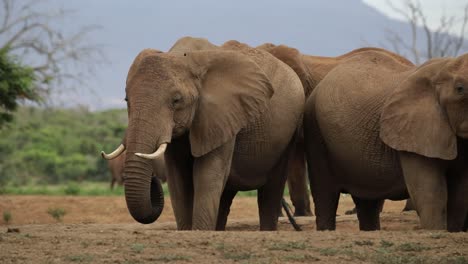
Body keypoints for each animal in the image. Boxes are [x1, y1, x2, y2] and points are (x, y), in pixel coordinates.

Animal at [102, 38, 306, 230]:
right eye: (126, 100)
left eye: (176, 101)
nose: (153, 179)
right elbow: (178, 178)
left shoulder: (224, 114)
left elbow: (208, 174)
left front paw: (199, 231)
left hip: (288, 135)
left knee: (270, 191)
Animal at [304, 49, 468, 231]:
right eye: (460, 89)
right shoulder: (412, 132)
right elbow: (431, 193)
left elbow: (460, 195)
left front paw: (453, 231)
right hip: (315, 130)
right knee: (325, 192)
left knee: (367, 200)